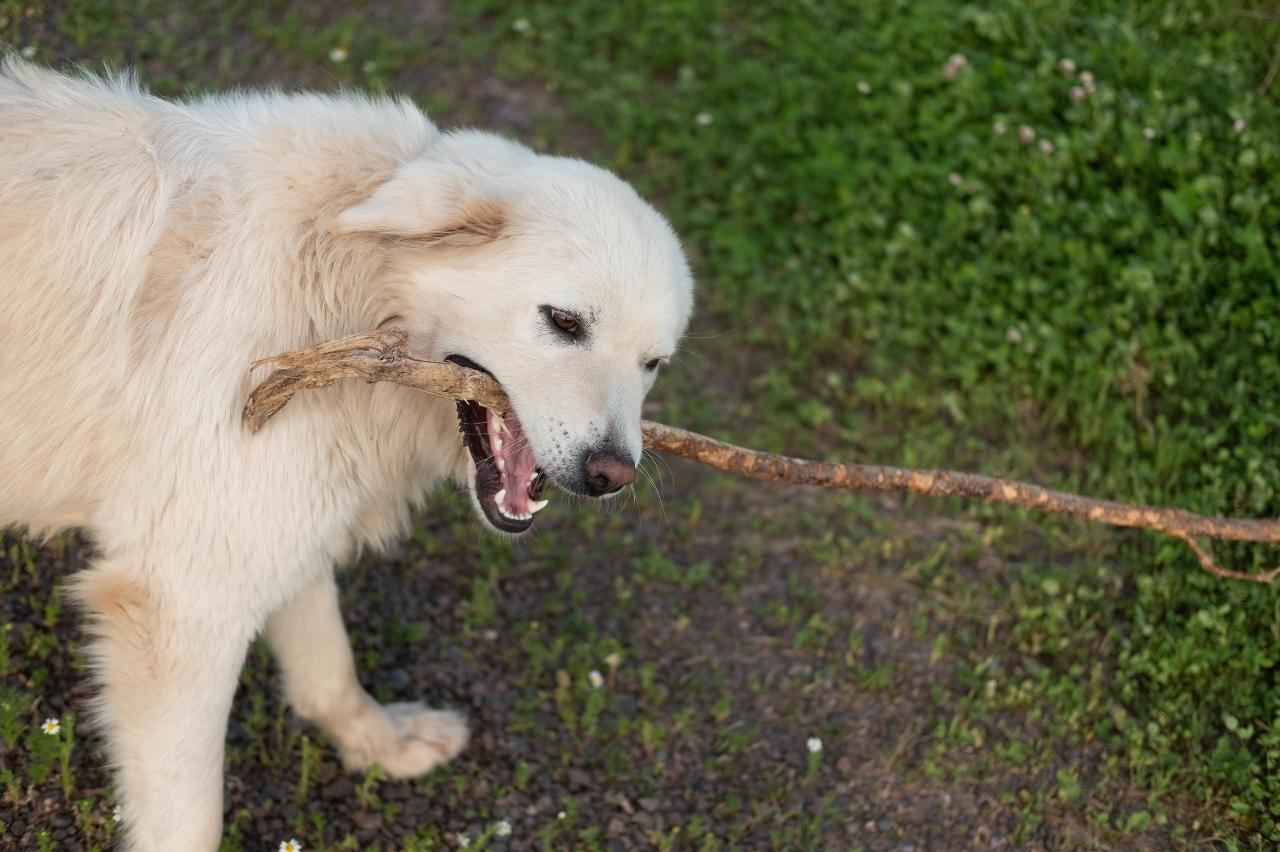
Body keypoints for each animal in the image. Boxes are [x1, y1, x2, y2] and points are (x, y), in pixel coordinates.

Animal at [0, 58, 696, 844]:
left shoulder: (278, 523)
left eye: (653, 364)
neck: (341, 275)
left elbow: (326, 660)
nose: (613, 475)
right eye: (565, 322)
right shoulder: (183, 599)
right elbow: (191, 819)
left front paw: (377, 741)